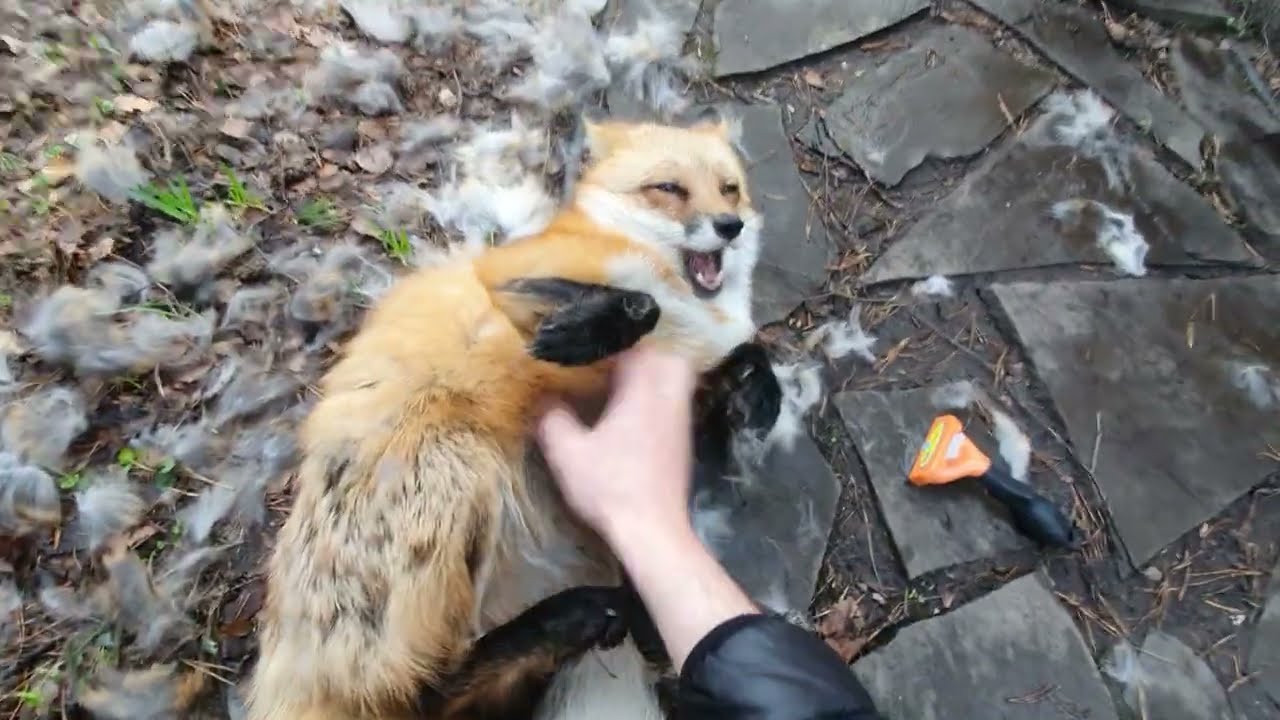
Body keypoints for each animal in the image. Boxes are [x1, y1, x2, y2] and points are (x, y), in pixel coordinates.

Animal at [245, 112, 782, 720]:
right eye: (669, 189)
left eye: (729, 188)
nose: (729, 225)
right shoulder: (504, 276)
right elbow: (638, 305)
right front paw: (583, 330)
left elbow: (749, 354)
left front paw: (757, 397)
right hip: (460, 463)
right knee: (424, 693)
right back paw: (571, 615)